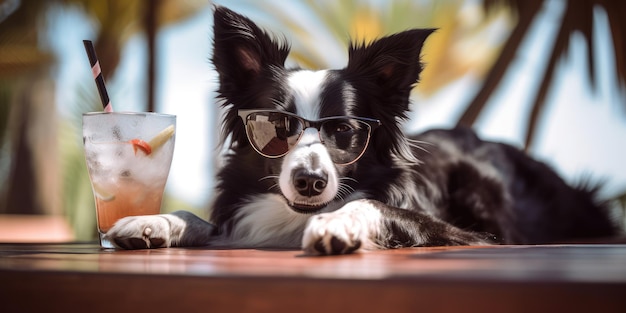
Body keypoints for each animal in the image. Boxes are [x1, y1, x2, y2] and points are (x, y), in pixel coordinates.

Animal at [105, 5, 616, 254]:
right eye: (278, 126)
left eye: (344, 130)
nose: (310, 181)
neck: (296, 218)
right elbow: (201, 220)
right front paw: (154, 221)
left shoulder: (469, 237)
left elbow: (372, 204)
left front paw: (338, 223)